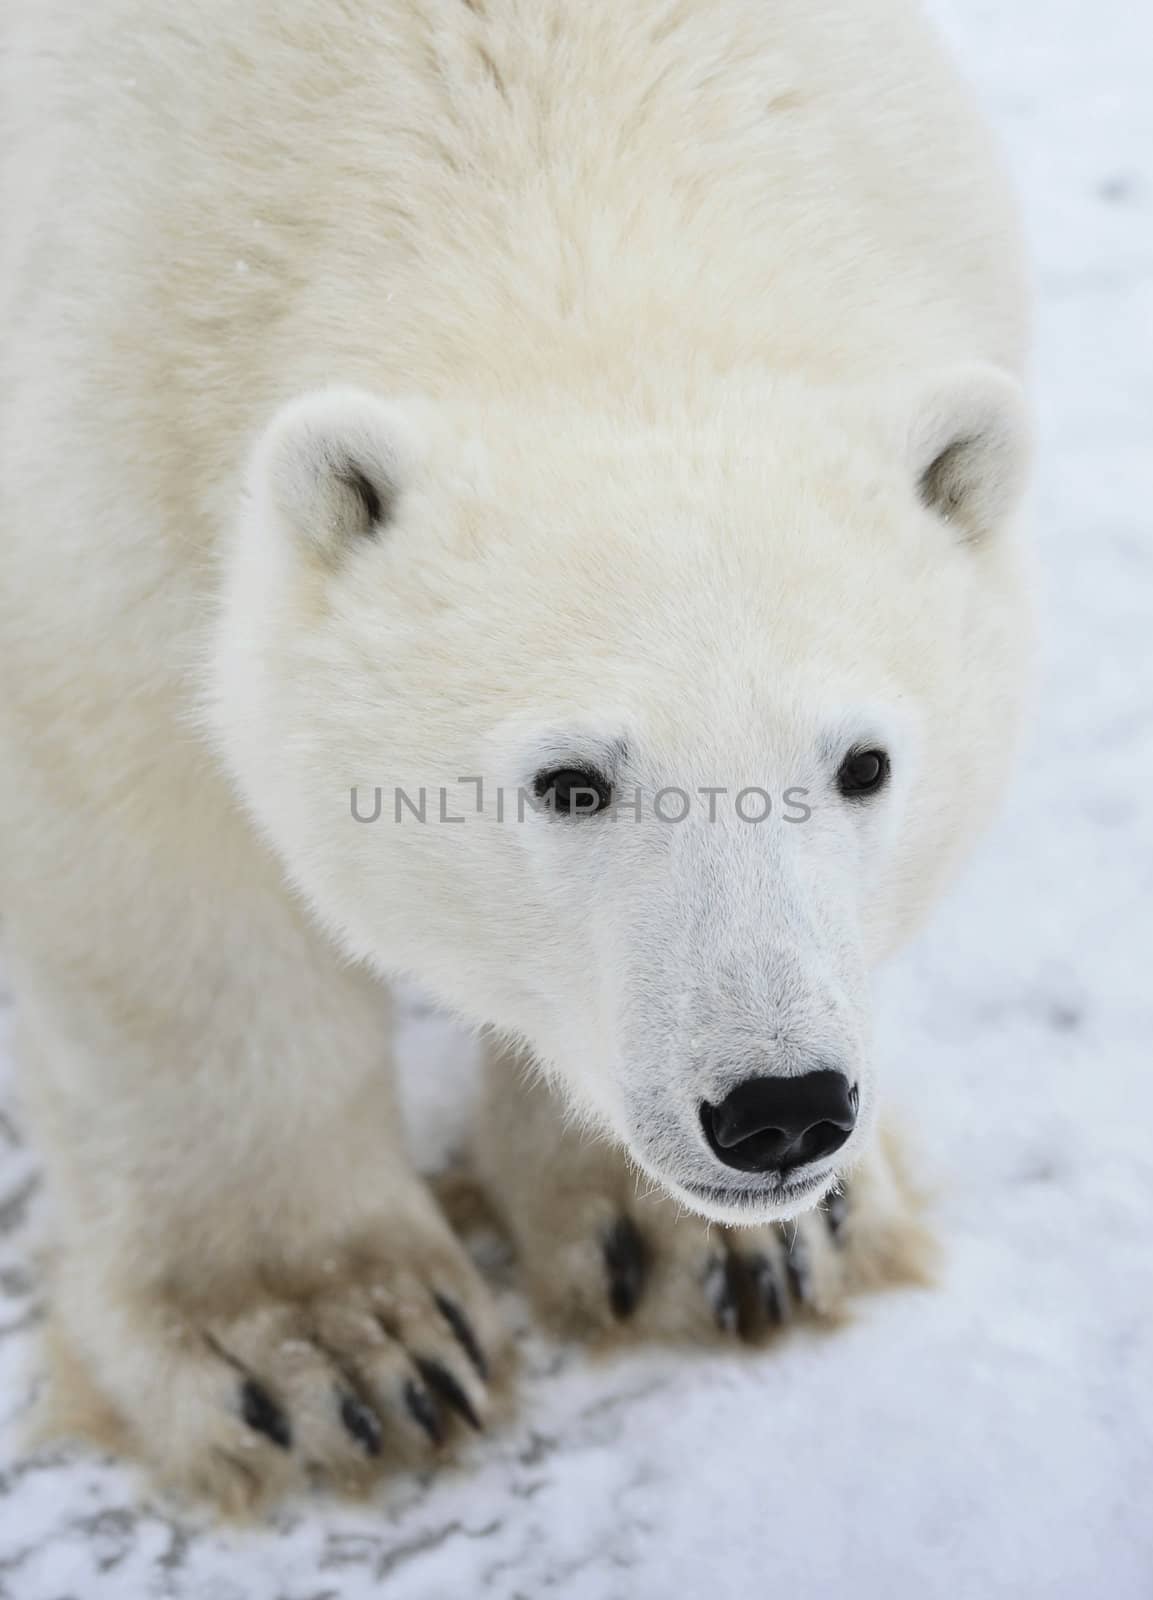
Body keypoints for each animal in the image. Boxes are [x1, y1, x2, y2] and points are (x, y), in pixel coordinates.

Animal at [0, 0, 1023, 1497]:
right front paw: (335, 1349)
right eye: (571, 782)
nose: (780, 1108)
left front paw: (722, 1247)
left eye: (863, 764)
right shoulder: (108, 406)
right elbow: (160, 870)